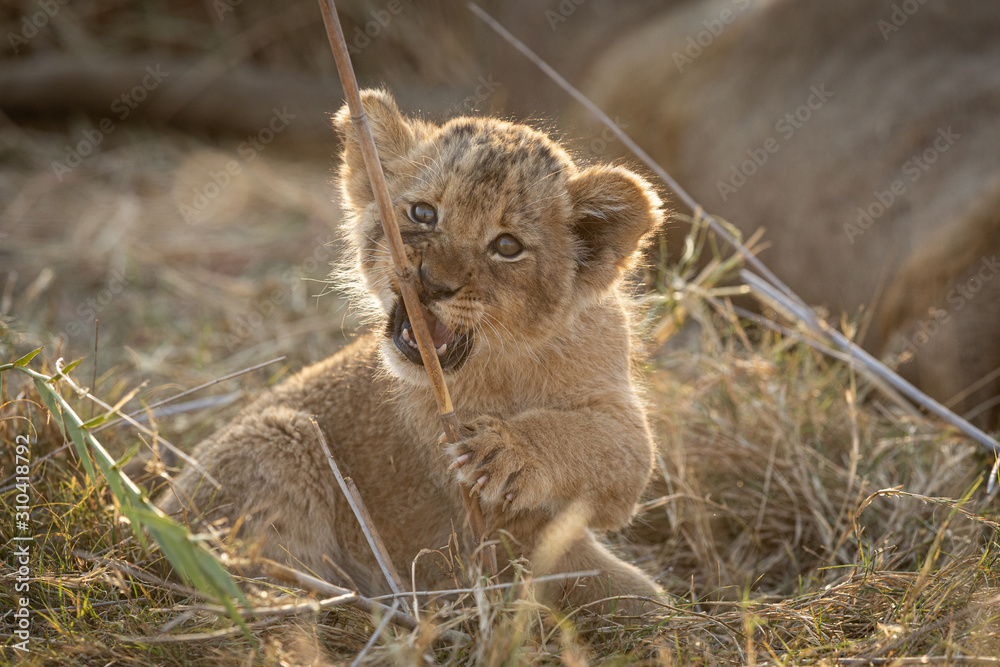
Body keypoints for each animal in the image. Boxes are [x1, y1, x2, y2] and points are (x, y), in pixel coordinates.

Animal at [157, 89, 664, 616]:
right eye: (423, 213)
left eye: (507, 246)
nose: (432, 283)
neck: (505, 361)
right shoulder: (482, 517)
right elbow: (594, 576)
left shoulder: (617, 413)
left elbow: (602, 448)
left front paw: (502, 450)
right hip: (278, 436)